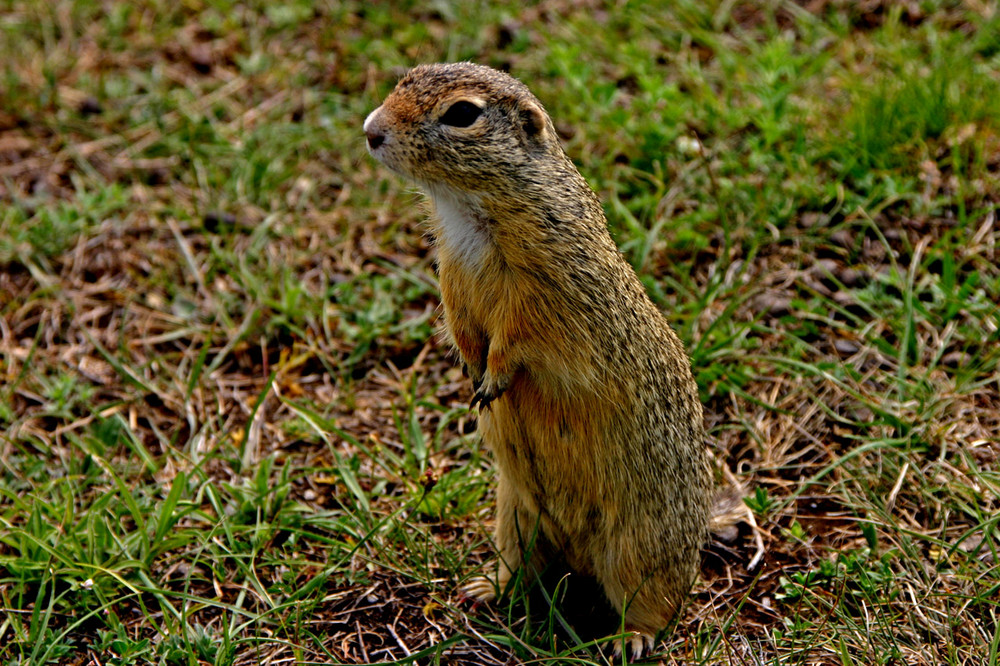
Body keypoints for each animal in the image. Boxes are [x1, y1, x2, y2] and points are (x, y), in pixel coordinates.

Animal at [366, 63, 712, 660]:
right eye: (404, 78)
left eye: (462, 113)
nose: (371, 130)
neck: (468, 208)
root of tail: (579, 551)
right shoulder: (452, 277)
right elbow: (464, 328)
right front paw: (471, 373)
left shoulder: (544, 291)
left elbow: (517, 339)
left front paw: (492, 379)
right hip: (515, 516)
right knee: (524, 571)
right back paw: (485, 589)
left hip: (641, 545)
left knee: (657, 602)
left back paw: (633, 639)